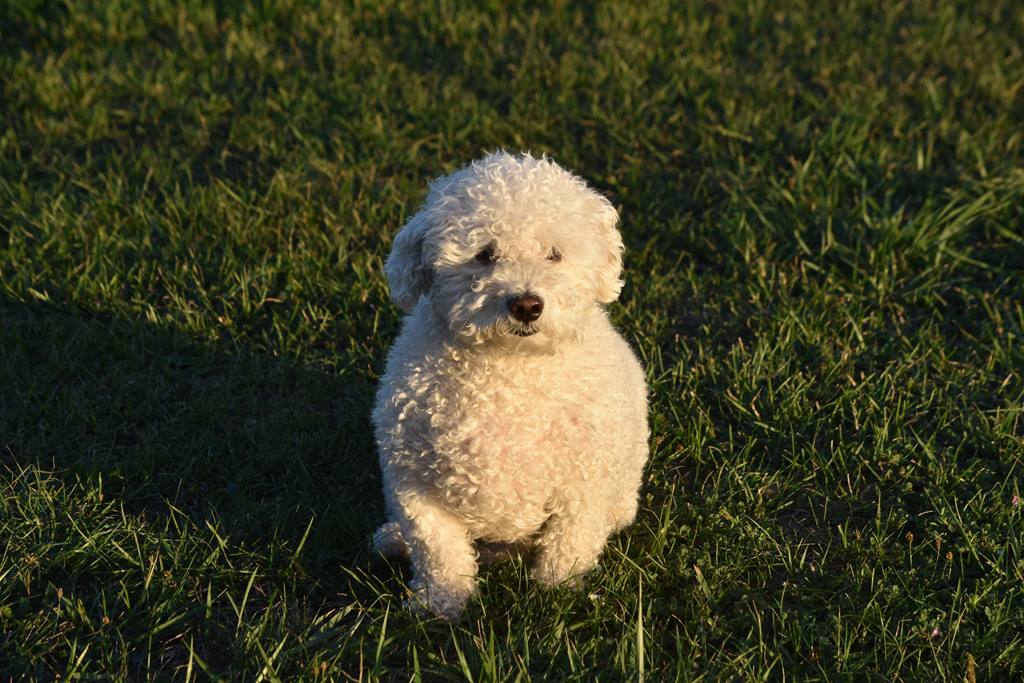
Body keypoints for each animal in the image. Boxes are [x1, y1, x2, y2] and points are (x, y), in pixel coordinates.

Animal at [374, 150, 647, 618]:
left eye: (555, 255)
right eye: (484, 254)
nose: (526, 305)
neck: (511, 369)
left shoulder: (583, 483)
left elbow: (568, 545)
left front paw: (559, 595)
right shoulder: (414, 481)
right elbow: (438, 549)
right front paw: (440, 604)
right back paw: (393, 540)